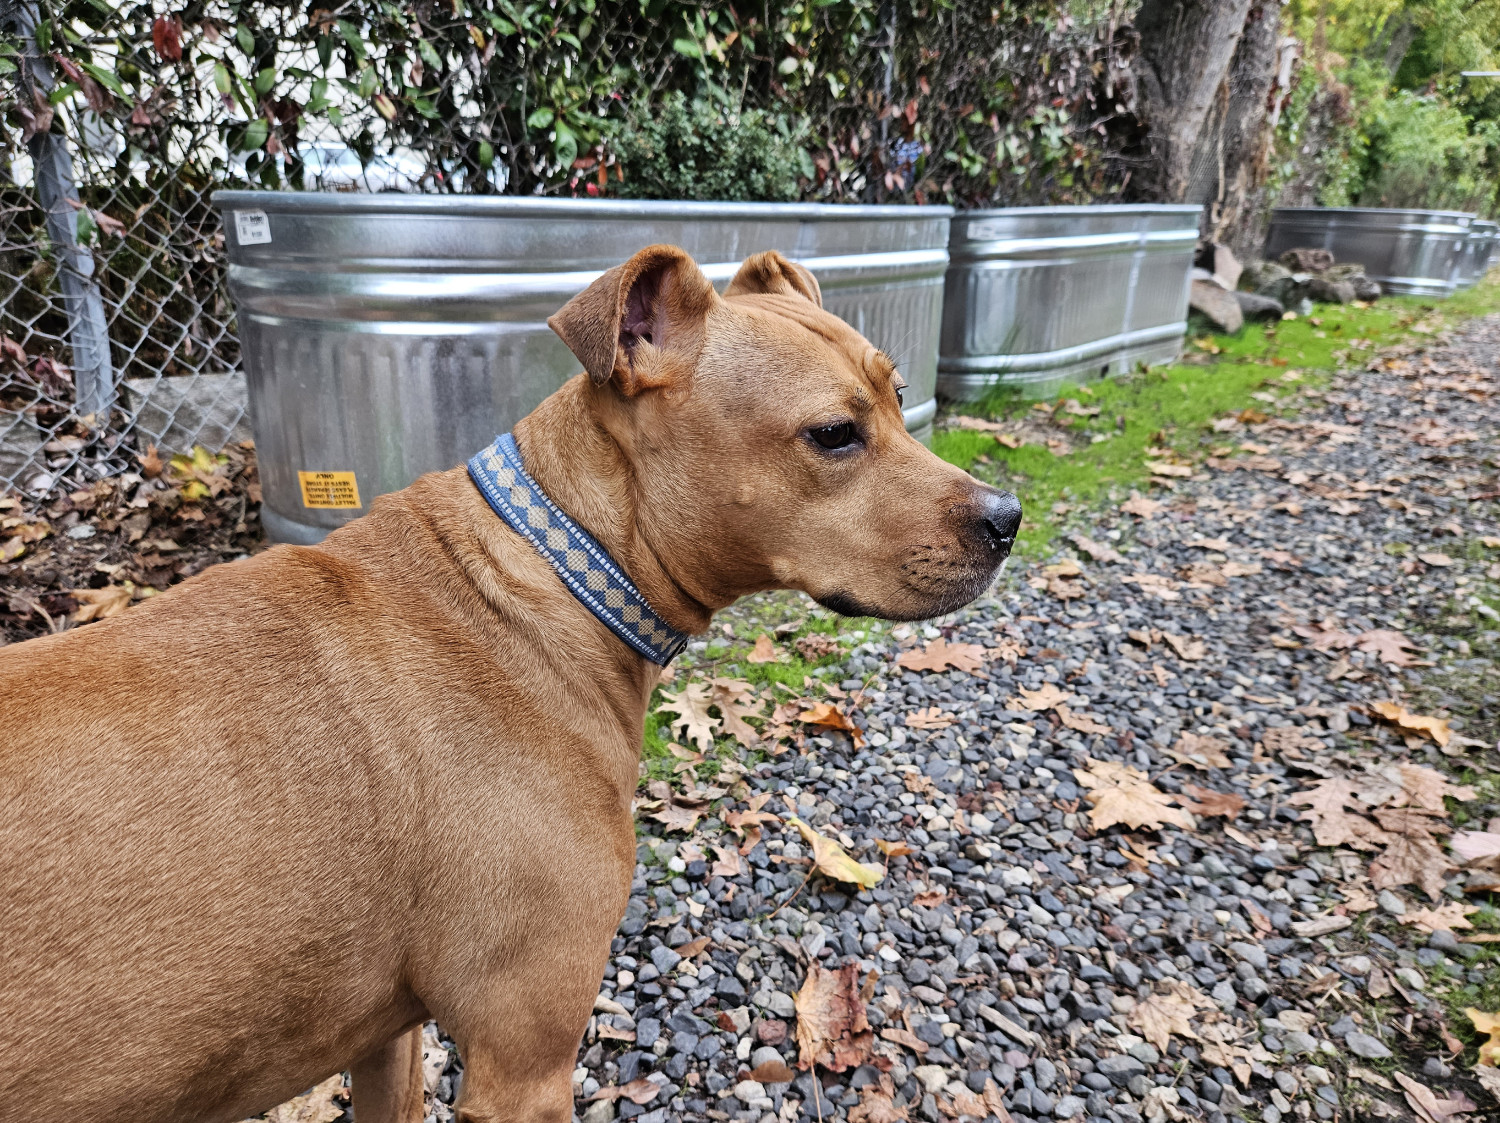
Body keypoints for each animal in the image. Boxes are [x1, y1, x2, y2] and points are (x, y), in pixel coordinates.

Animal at [0, 247, 1020, 1121]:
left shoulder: (385, 1037)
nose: (1008, 515)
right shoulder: (521, 1061)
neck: (554, 568)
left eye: (898, 398)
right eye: (835, 435)